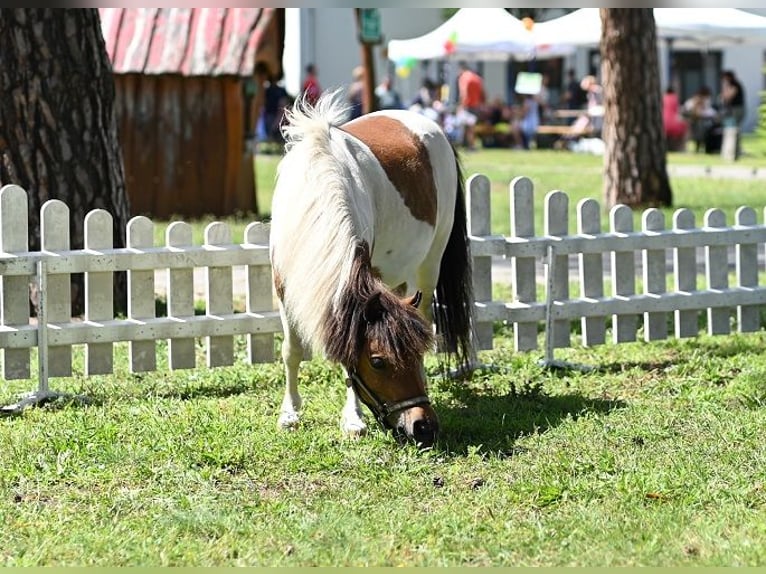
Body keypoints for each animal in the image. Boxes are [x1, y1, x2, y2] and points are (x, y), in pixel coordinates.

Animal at [270, 91, 474, 450]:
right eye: (378, 361)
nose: (424, 428)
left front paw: (353, 420)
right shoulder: (283, 285)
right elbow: (292, 351)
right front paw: (290, 414)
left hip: (429, 265)